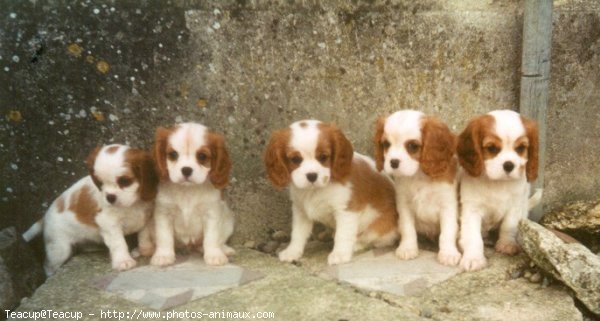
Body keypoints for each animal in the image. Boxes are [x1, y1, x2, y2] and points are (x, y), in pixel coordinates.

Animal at [22, 145, 158, 276]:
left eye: (125, 181)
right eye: (100, 183)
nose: (110, 197)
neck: (133, 204)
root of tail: (45, 217)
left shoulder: (146, 218)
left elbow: (144, 236)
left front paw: (144, 250)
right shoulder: (108, 223)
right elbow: (118, 242)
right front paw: (123, 261)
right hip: (59, 249)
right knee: (48, 265)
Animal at [150, 121, 234, 266]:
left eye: (202, 156)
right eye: (173, 155)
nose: (186, 170)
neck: (187, 190)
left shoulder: (211, 214)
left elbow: (212, 237)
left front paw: (214, 255)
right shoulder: (163, 214)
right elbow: (164, 236)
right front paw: (163, 256)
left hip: (228, 221)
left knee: (218, 240)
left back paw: (224, 249)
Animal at [266, 119, 398, 264]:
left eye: (323, 157)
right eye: (295, 159)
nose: (312, 175)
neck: (316, 189)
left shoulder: (346, 211)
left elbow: (343, 234)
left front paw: (340, 254)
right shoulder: (300, 211)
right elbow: (298, 233)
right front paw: (292, 252)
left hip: (378, 228)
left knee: (374, 240)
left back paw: (356, 245)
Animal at [372, 110, 462, 264]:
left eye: (412, 146)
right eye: (386, 144)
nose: (393, 162)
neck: (419, 175)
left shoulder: (448, 206)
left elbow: (447, 231)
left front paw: (448, 253)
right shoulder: (404, 205)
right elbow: (408, 228)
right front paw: (407, 248)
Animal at [454, 109, 540, 270]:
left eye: (521, 148)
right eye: (492, 148)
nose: (509, 165)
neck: (498, 183)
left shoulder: (515, 206)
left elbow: (509, 225)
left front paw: (507, 244)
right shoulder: (471, 209)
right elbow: (473, 236)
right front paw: (474, 258)